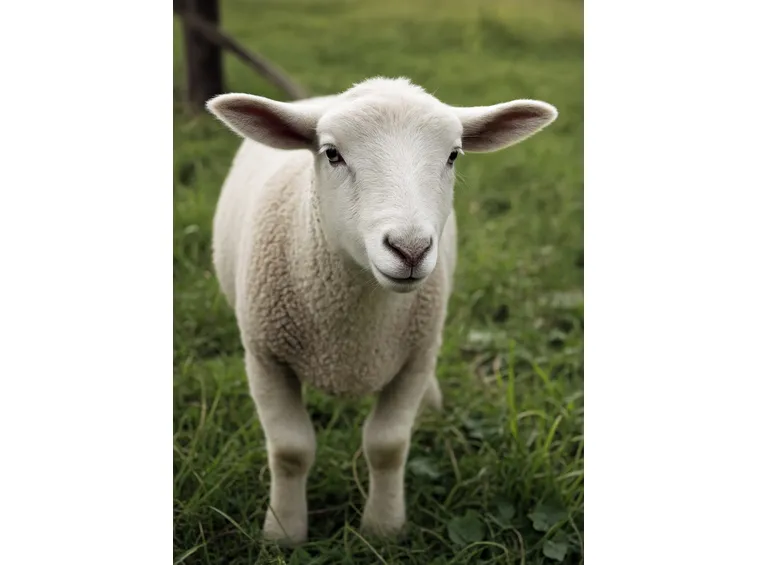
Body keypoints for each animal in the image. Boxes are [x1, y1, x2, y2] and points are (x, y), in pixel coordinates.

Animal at [205, 77, 558, 544]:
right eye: (332, 153)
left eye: (453, 155)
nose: (410, 249)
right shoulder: (265, 357)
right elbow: (290, 450)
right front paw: (283, 532)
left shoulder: (414, 357)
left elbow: (387, 446)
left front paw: (383, 529)